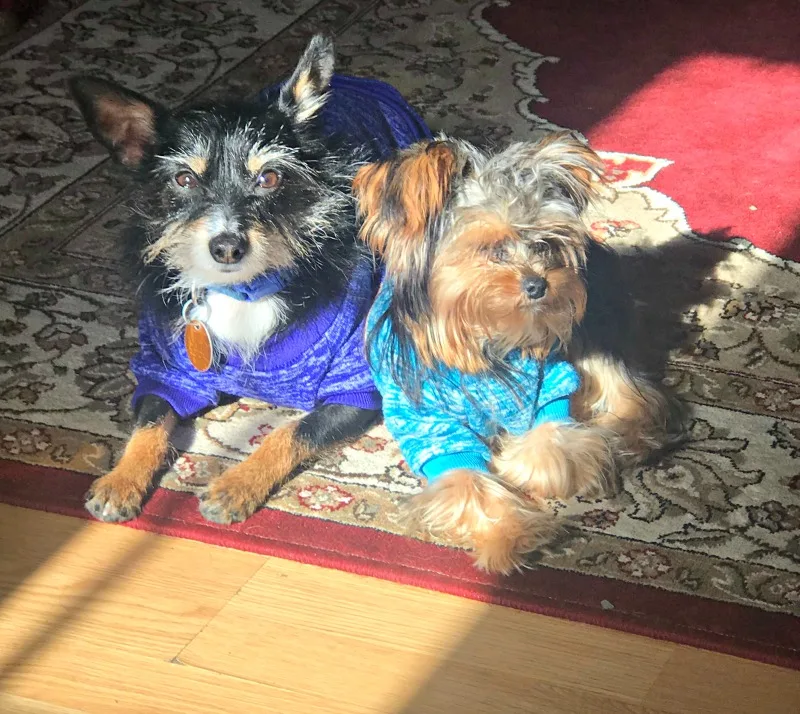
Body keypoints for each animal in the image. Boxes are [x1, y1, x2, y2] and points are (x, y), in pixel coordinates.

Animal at [354, 131, 672, 572]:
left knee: (636, 398)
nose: (539, 285)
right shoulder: (430, 424)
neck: (485, 341)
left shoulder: (550, 382)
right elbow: (468, 485)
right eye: (492, 249)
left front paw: (517, 463)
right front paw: (512, 534)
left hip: (590, 327)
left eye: (545, 244)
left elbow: (551, 450)